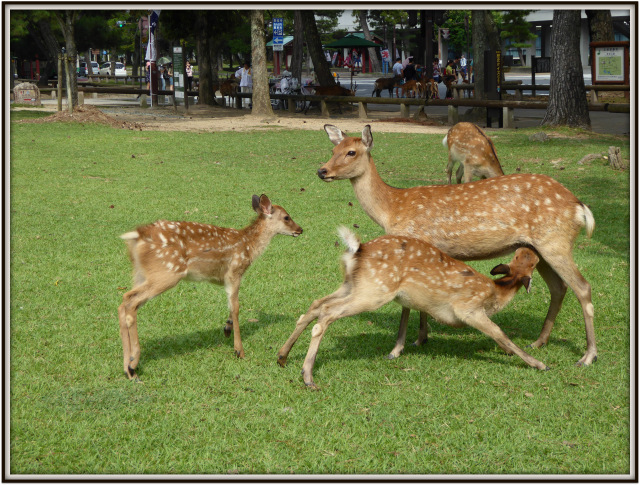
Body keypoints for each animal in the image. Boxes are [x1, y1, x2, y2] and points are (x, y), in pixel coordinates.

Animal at [117, 193, 302, 378]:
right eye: (287, 217)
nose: (300, 229)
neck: (249, 247)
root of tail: (137, 235)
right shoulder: (234, 271)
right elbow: (236, 307)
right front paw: (239, 350)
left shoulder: (227, 279)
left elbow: (230, 304)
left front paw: (227, 328)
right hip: (167, 272)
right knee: (130, 300)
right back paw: (133, 362)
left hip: (140, 274)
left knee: (123, 303)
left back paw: (128, 368)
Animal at [284, 123, 596, 368]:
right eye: (333, 149)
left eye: (351, 152)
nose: (322, 170)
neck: (391, 209)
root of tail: (580, 208)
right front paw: (421, 338)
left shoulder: (416, 243)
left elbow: (407, 305)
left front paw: (402, 346)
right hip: (537, 248)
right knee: (559, 288)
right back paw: (539, 342)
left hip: (555, 241)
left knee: (582, 287)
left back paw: (587, 355)